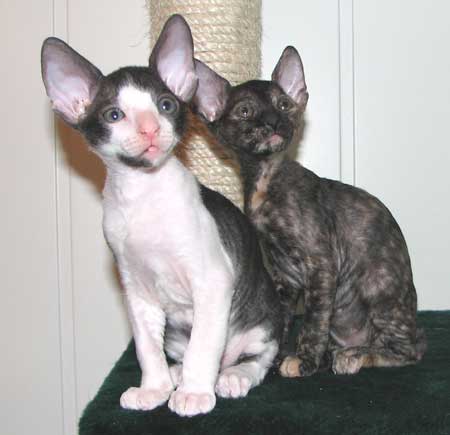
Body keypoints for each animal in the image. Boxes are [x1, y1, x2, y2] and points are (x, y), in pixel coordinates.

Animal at [41, 15, 281, 416]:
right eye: (114, 115)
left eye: (166, 105)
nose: (150, 128)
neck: (143, 195)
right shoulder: (136, 291)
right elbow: (145, 347)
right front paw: (153, 388)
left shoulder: (213, 280)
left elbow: (205, 344)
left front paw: (196, 393)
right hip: (175, 332)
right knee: (181, 350)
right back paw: (174, 374)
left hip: (262, 318)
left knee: (257, 357)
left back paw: (230, 376)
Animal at [192, 46, 426, 378]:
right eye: (245, 111)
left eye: (283, 105)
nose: (275, 121)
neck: (265, 179)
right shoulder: (284, 278)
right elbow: (282, 317)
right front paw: (273, 354)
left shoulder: (322, 264)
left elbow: (314, 319)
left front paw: (304, 360)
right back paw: (336, 352)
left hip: (379, 287)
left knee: (409, 350)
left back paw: (355, 355)